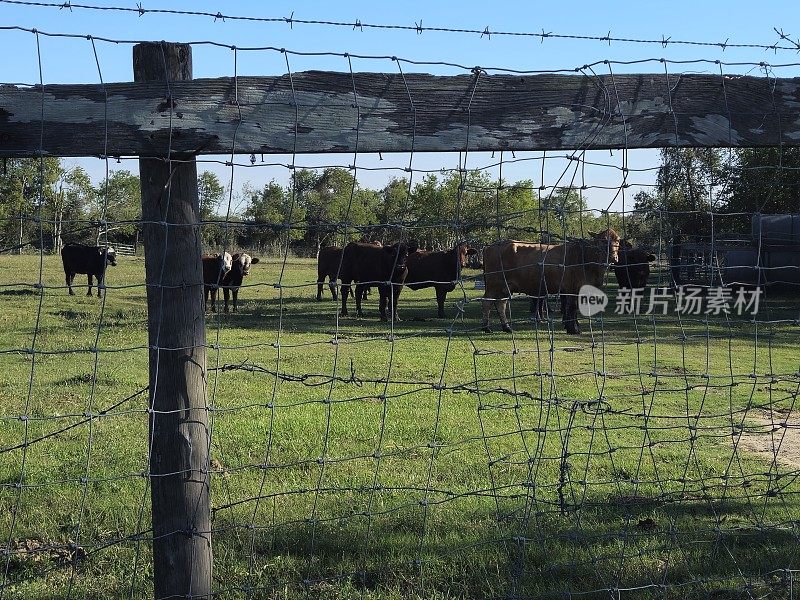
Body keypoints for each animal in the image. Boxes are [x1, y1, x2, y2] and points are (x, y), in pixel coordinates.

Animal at [482, 229, 620, 336]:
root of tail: (489, 246)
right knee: (487, 302)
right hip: (493, 284)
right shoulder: (572, 288)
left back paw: (506, 327)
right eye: (603, 241)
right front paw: (573, 329)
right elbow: (572, 308)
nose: (613, 257)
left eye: (618, 241)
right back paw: (486, 327)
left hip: (505, 287)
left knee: (501, 304)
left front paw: (571, 327)